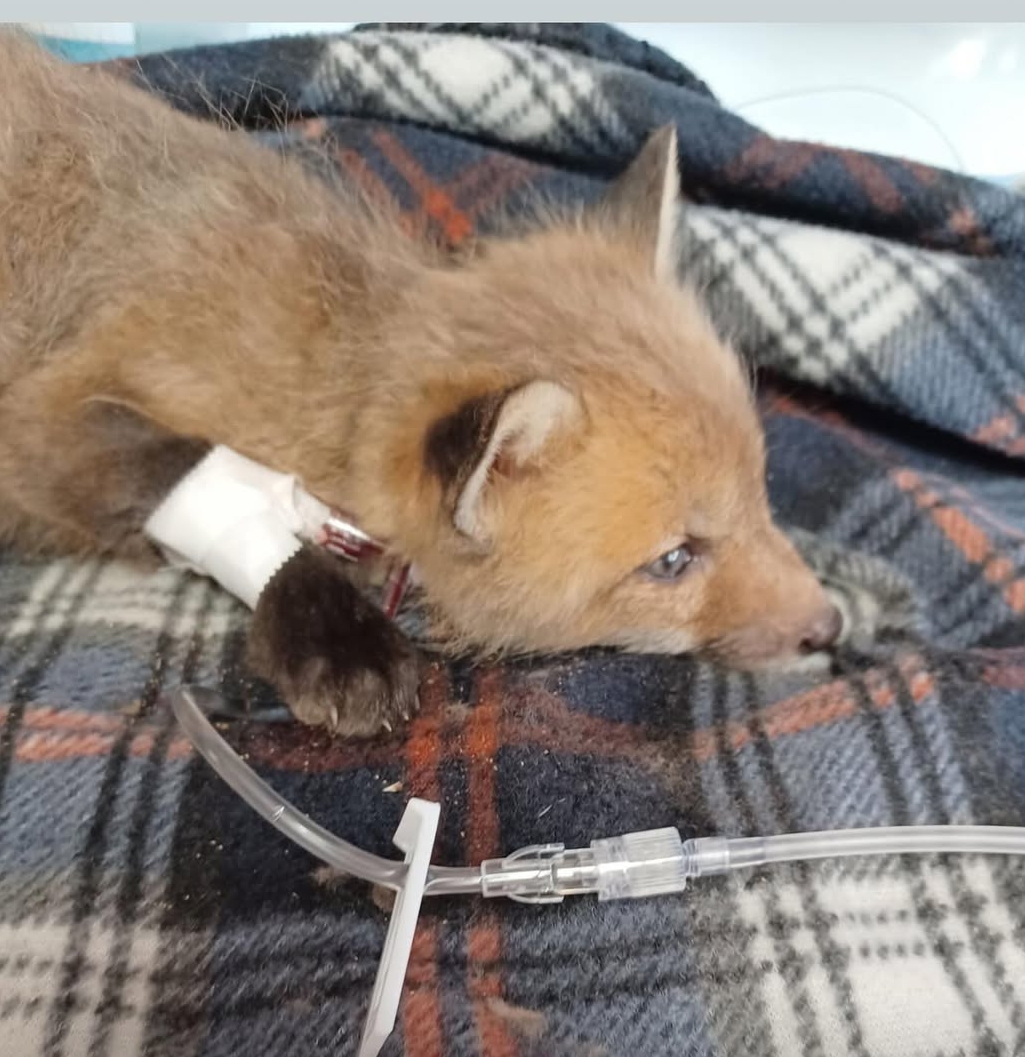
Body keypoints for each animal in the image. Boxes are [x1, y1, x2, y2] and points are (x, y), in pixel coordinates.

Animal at [0, 31, 841, 736]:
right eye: (672, 560)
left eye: (759, 490)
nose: (831, 628)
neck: (323, 382)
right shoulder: (43, 420)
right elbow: (200, 478)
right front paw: (339, 640)